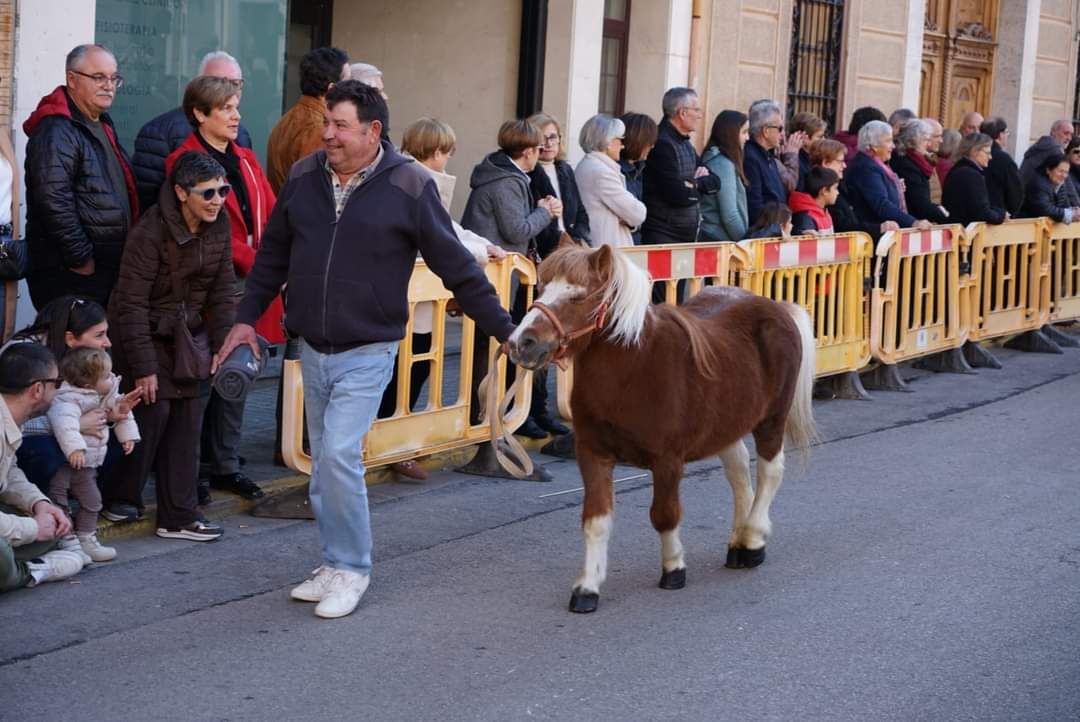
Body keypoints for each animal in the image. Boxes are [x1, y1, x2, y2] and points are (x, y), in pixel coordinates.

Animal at [507, 243, 816, 612]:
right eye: (540, 290)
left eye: (577, 296)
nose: (521, 343)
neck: (633, 369)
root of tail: (777, 307)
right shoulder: (593, 454)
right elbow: (596, 521)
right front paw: (587, 588)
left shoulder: (667, 460)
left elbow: (664, 515)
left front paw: (673, 568)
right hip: (727, 422)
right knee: (739, 471)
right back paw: (737, 543)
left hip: (771, 420)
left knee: (770, 471)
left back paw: (753, 541)